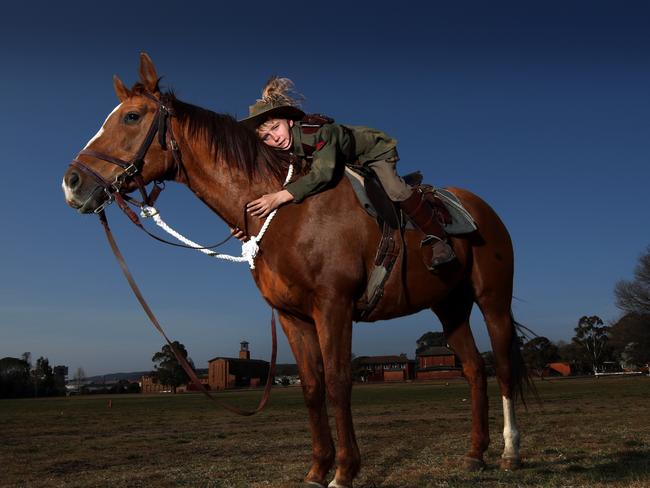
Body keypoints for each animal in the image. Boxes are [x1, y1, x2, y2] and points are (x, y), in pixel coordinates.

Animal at [62, 53, 528, 488]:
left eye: (132, 116)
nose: (72, 182)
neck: (292, 212)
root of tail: (480, 208)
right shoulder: (292, 317)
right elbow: (312, 388)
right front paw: (318, 469)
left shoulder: (333, 307)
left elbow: (338, 383)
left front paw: (345, 471)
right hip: (450, 307)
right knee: (474, 370)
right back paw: (475, 453)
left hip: (492, 301)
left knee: (502, 368)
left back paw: (510, 452)